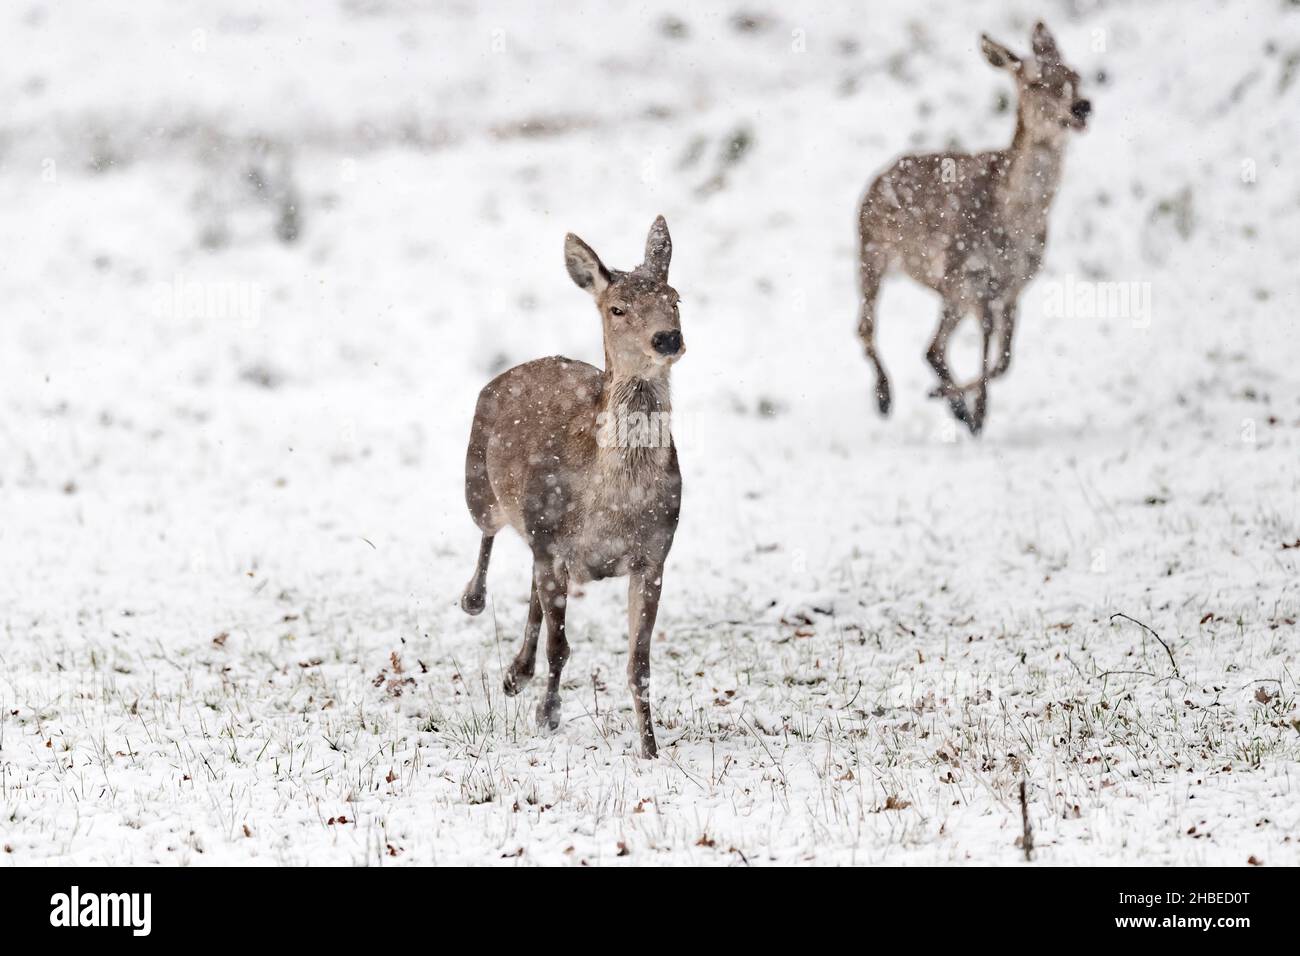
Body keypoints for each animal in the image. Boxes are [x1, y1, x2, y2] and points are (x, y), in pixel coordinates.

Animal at [460, 213, 686, 759]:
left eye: (676, 297)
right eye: (618, 308)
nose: (667, 339)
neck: (611, 504)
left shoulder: (655, 552)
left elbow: (640, 665)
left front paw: (651, 749)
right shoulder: (551, 537)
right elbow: (561, 647)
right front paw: (548, 715)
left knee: (531, 584)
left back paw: (515, 674)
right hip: (481, 487)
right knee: (490, 533)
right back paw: (475, 602)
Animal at [857, 22, 1092, 434]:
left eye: (1075, 76)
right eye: (1035, 83)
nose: (1082, 106)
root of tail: (878, 179)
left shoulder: (1014, 286)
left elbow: (1005, 360)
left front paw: (967, 407)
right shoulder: (971, 278)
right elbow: (989, 348)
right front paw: (978, 411)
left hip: (945, 290)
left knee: (931, 348)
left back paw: (953, 405)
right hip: (874, 253)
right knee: (869, 328)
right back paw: (887, 400)